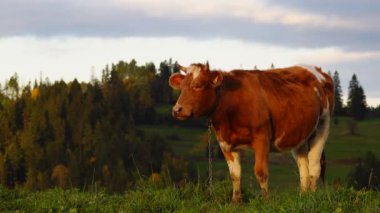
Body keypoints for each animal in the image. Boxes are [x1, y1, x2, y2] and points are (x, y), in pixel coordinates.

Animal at [168, 62, 332, 203]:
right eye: (181, 87)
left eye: (198, 86)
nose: (177, 110)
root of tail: (317, 70)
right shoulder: (225, 143)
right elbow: (235, 174)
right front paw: (236, 201)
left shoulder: (262, 139)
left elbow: (261, 172)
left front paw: (266, 200)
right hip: (300, 136)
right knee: (304, 168)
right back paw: (303, 196)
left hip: (322, 126)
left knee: (314, 168)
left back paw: (312, 197)